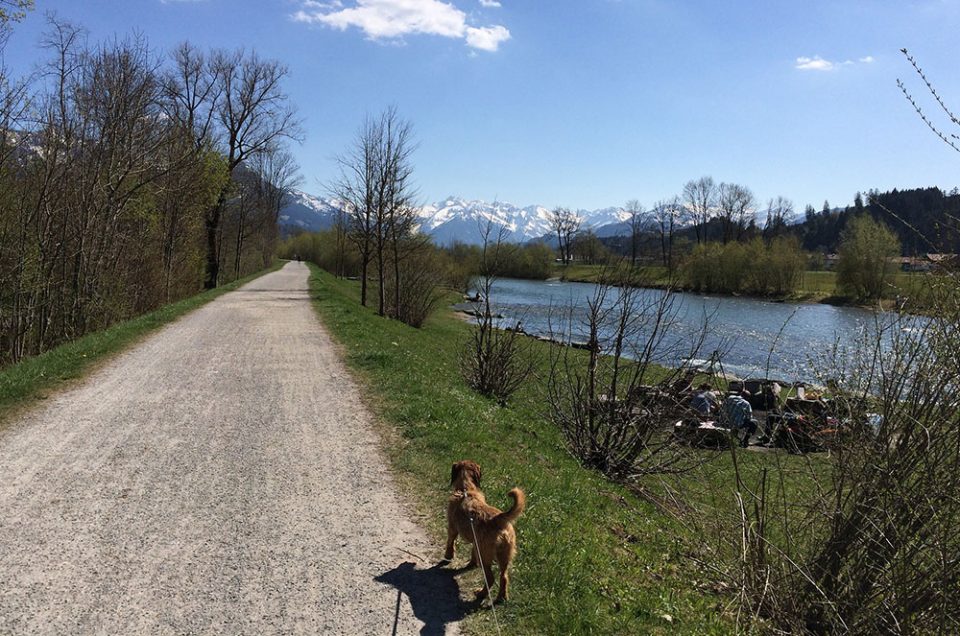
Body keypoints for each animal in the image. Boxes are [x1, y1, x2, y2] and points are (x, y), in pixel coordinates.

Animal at [442, 460, 524, 604]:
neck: (466, 489)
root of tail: (499, 519)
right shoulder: (476, 542)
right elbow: (473, 553)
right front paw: (471, 564)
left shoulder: (452, 528)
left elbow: (450, 542)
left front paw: (448, 556)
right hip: (504, 555)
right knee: (504, 576)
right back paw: (502, 597)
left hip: (485, 555)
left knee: (490, 578)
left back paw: (480, 594)